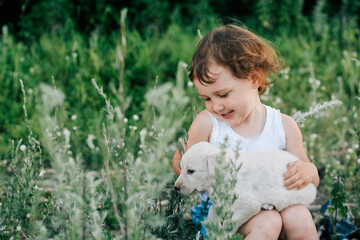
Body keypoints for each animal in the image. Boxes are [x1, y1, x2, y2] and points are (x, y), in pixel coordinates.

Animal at [174, 142, 316, 233]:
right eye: (181, 168)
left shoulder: (248, 204)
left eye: (191, 171)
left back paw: (269, 205)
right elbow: (212, 210)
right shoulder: (220, 201)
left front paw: (223, 234)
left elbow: (231, 222)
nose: (175, 187)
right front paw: (212, 226)